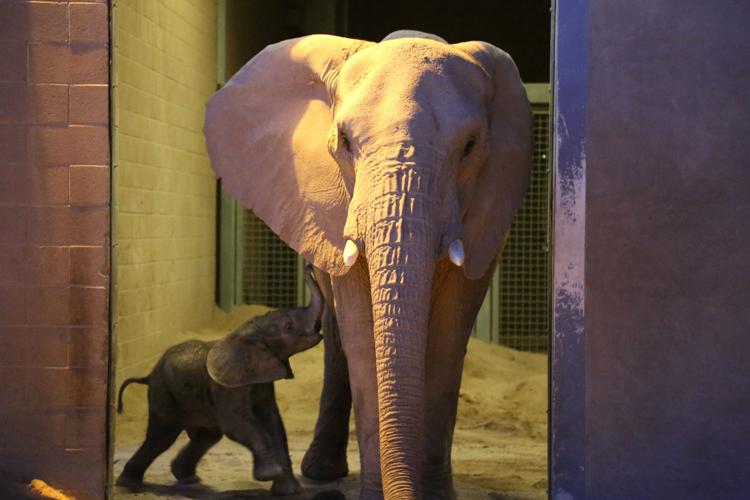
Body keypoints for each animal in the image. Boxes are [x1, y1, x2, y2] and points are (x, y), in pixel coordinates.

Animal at [115, 266, 324, 495]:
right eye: (288, 326)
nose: (310, 267)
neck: (250, 331)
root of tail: (148, 375)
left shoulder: (260, 380)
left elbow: (274, 423)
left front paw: (287, 491)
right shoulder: (226, 387)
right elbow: (237, 424)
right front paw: (270, 474)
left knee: (207, 436)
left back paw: (187, 478)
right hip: (163, 392)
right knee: (162, 437)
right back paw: (128, 484)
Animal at [204, 30, 531, 499]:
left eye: (470, 147)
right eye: (344, 142)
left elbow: (450, 335)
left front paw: (435, 494)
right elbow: (360, 332)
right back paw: (322, 472)